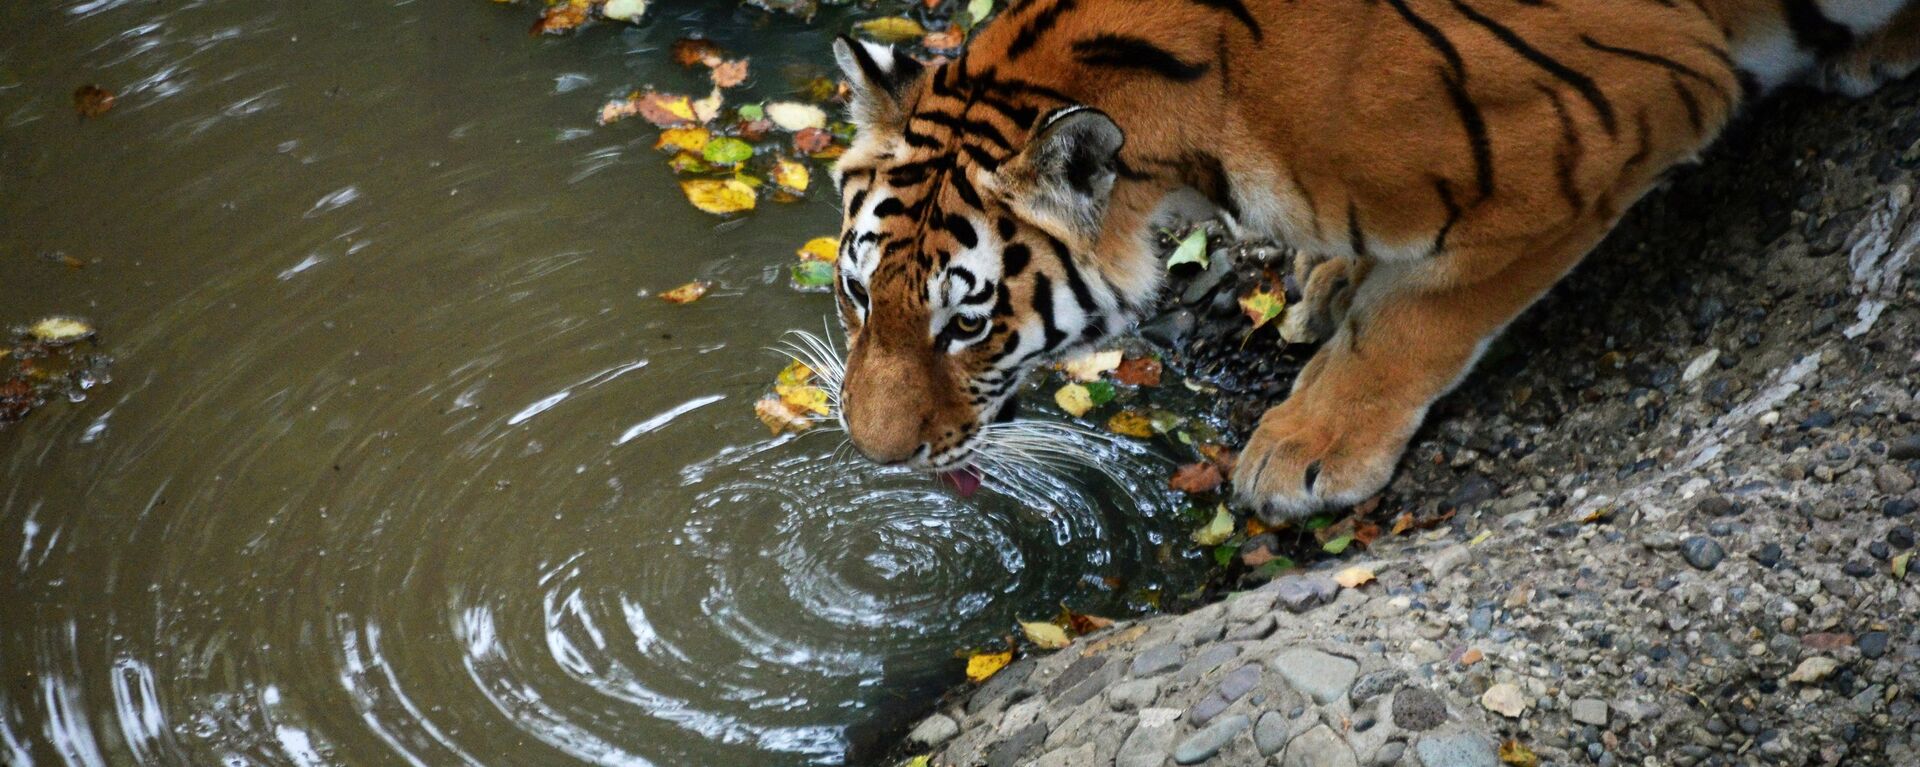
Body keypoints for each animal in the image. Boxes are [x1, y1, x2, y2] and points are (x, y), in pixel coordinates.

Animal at [821, 0, 1920, 522]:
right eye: (858, 291)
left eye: (968, 323)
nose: (871, 458)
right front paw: (1330, 282)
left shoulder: (1597, 132)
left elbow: (1422, 314)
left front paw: (1306, 447)